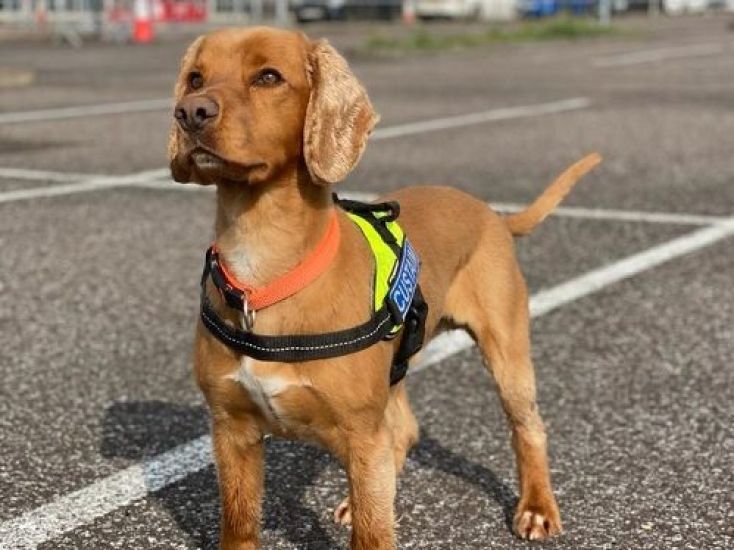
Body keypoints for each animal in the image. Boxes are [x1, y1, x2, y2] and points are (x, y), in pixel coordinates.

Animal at [168, 27, 604, 550]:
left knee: (529, 427)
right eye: (195, 78)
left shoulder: (361, 434)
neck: (265, 273)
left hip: (507, 354)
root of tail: (493, 215)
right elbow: (239, 525)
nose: (191, 112)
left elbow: (373, 531)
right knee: (406, 430)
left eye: (269, 77)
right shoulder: (232, 432)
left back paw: (537, 507)